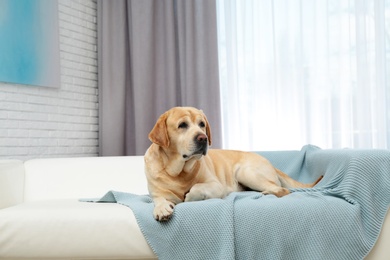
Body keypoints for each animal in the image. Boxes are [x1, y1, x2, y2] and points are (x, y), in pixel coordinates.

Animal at [145, 106, 322, 220]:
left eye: (202, 124)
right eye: (182, 125)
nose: (203, 138)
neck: (179, 171)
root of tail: (270, 163)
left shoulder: (216, 186)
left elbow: (197, 187)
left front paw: (189, 196)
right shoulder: (157, 193)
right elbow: (159, 199)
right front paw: (161, 208)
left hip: (246, 172)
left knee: (283, 190)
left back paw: (267, 193)